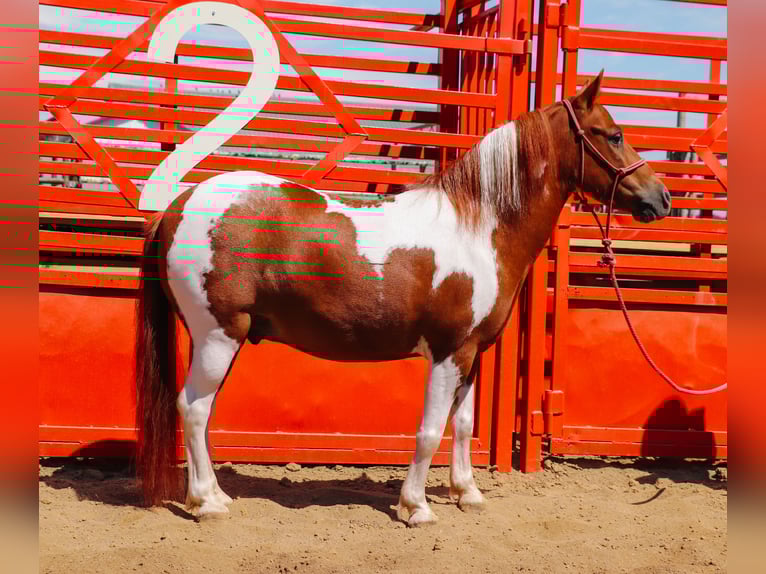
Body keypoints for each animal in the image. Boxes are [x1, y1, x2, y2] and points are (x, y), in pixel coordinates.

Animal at [135, 70, 671, 526]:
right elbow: (430, 430)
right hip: (218, 336)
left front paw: (467, 493)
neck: (479, 228)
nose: (661, 199)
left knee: (202, 411)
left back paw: (216, 495)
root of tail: (177, 205)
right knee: (193, 408)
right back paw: (206, 504)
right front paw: (416, 507)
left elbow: (463, 424)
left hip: (224, 341)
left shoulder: (471, 354)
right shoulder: (449, 351)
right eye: (613, 134)